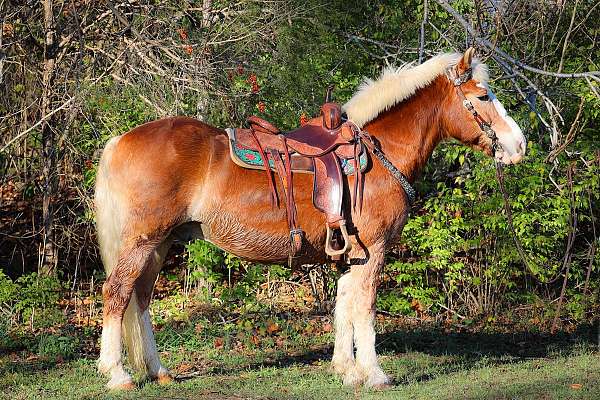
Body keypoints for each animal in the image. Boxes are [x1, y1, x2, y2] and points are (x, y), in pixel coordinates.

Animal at [94, 48, 524, 390]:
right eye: (483, 96)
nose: (519, 145)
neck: (380, 151)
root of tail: (120, 141)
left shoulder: (353, 254)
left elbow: (345, 305)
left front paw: (347, 371)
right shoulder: (376, 249)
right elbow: (364, 308)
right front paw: (375, 374)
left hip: (160, 243)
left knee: (141, 298)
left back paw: (159, 371)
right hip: (141, 242)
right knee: (116, 293)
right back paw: (117, 374)